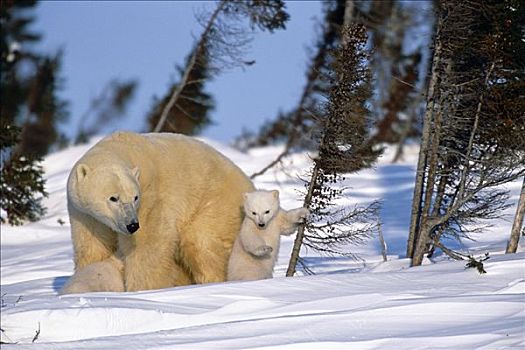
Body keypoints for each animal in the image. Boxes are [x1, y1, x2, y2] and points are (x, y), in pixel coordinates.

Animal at [61, 131, 254, 292]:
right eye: (113, 198)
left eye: (135, 197)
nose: (132, 225)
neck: (123, 145)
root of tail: (249, 184)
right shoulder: (84, 213)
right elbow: (92, 245)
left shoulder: (150, 199)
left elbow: (148, 246)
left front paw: (142, 289)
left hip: (215, 201)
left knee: (202, 243)